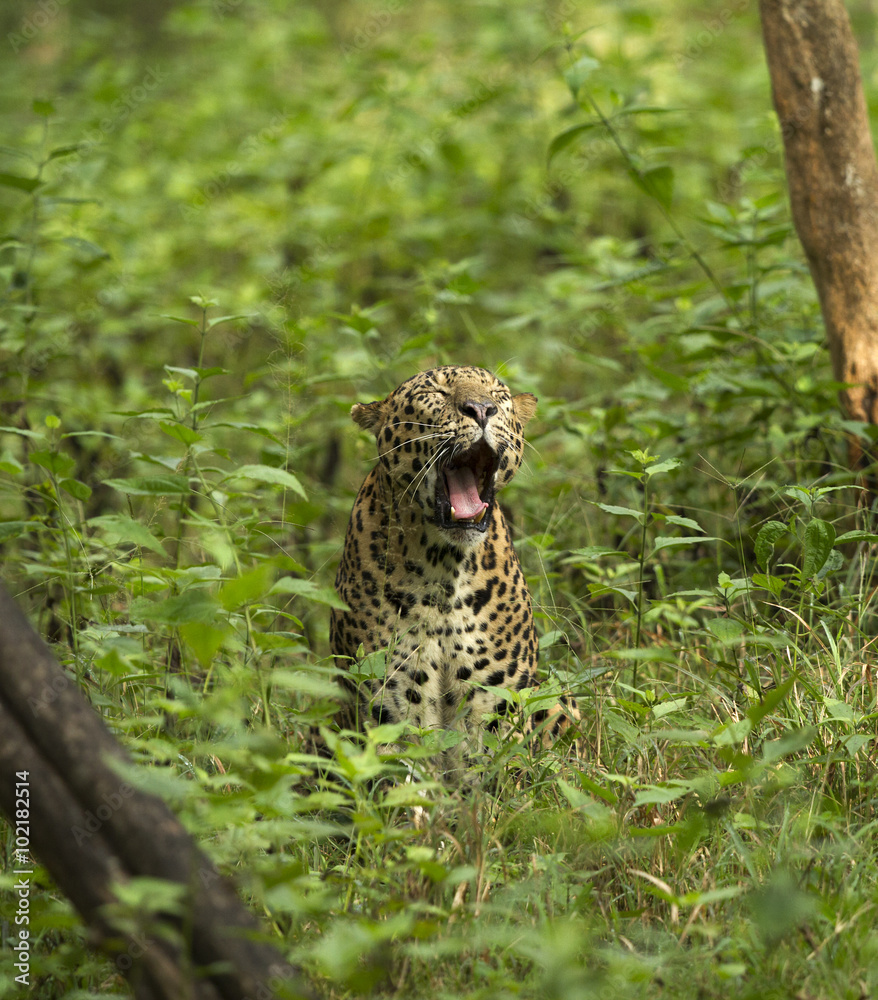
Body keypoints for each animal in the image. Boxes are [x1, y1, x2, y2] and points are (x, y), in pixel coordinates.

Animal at [330, 365, 573, 779]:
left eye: (498, 394)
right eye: (436, 392)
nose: (481, 409)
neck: (445, 566)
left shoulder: (495, 701)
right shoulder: (390, 695)